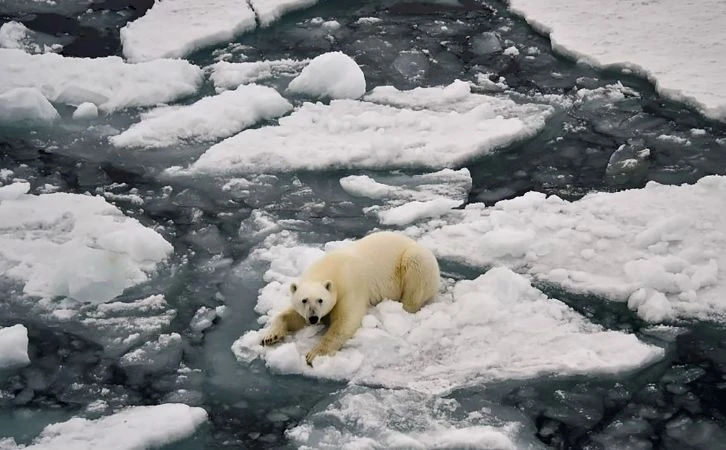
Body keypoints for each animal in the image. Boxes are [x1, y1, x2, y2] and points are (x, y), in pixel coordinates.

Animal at [264, 232, 444, 366]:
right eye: (304, 300)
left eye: (321, 300)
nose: (314, 318)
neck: (329, 268)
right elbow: (291, 316)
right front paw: (270, 337)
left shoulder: (349, 287)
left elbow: (345, 321)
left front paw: (314, 354)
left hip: (414, 261)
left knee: (415, 279)